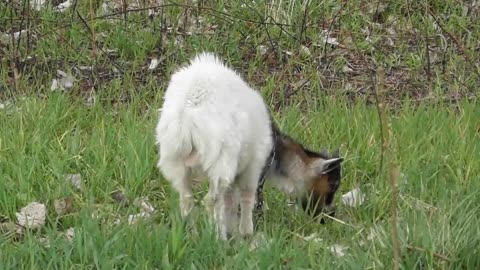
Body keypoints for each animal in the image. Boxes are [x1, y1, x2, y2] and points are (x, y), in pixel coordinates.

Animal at [156, 53, 344, 240]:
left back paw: (192, 235)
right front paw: (246, 233)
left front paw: (233, 232)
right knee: (211, 200)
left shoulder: (236, 172)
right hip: (220, 160)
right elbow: (247, 196)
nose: (330, 215)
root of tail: (187, 114)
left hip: (175, 160)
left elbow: (230, 201)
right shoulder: (253, 166)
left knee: (186, 198)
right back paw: (217, 238)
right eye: (333, 184)